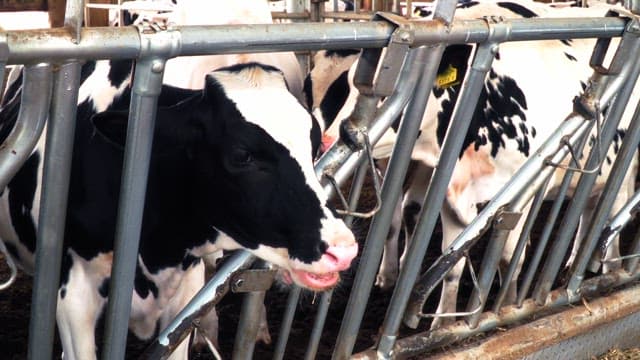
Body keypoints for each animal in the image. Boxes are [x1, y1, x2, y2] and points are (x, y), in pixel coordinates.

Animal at [308, 0, 636, 330]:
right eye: (353, 85)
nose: (326, 139)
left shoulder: (528, 185)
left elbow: (508, 257)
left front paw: (506, 305)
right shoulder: (451, 191)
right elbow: (450, 262)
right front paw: (443, 324)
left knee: (611, 205)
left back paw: (606, 266)